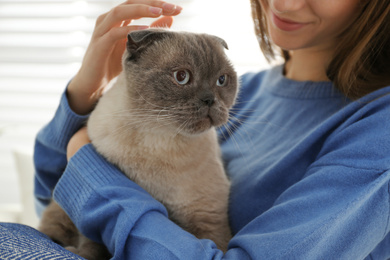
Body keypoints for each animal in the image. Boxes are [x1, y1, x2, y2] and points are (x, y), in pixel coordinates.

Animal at [41, 29, 239, 258]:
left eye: (221, 80)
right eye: (182, 77)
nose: (209, 100)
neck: (161, 139)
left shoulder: (208, 219)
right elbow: (94, 242)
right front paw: (83, 255)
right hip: (58, 211)